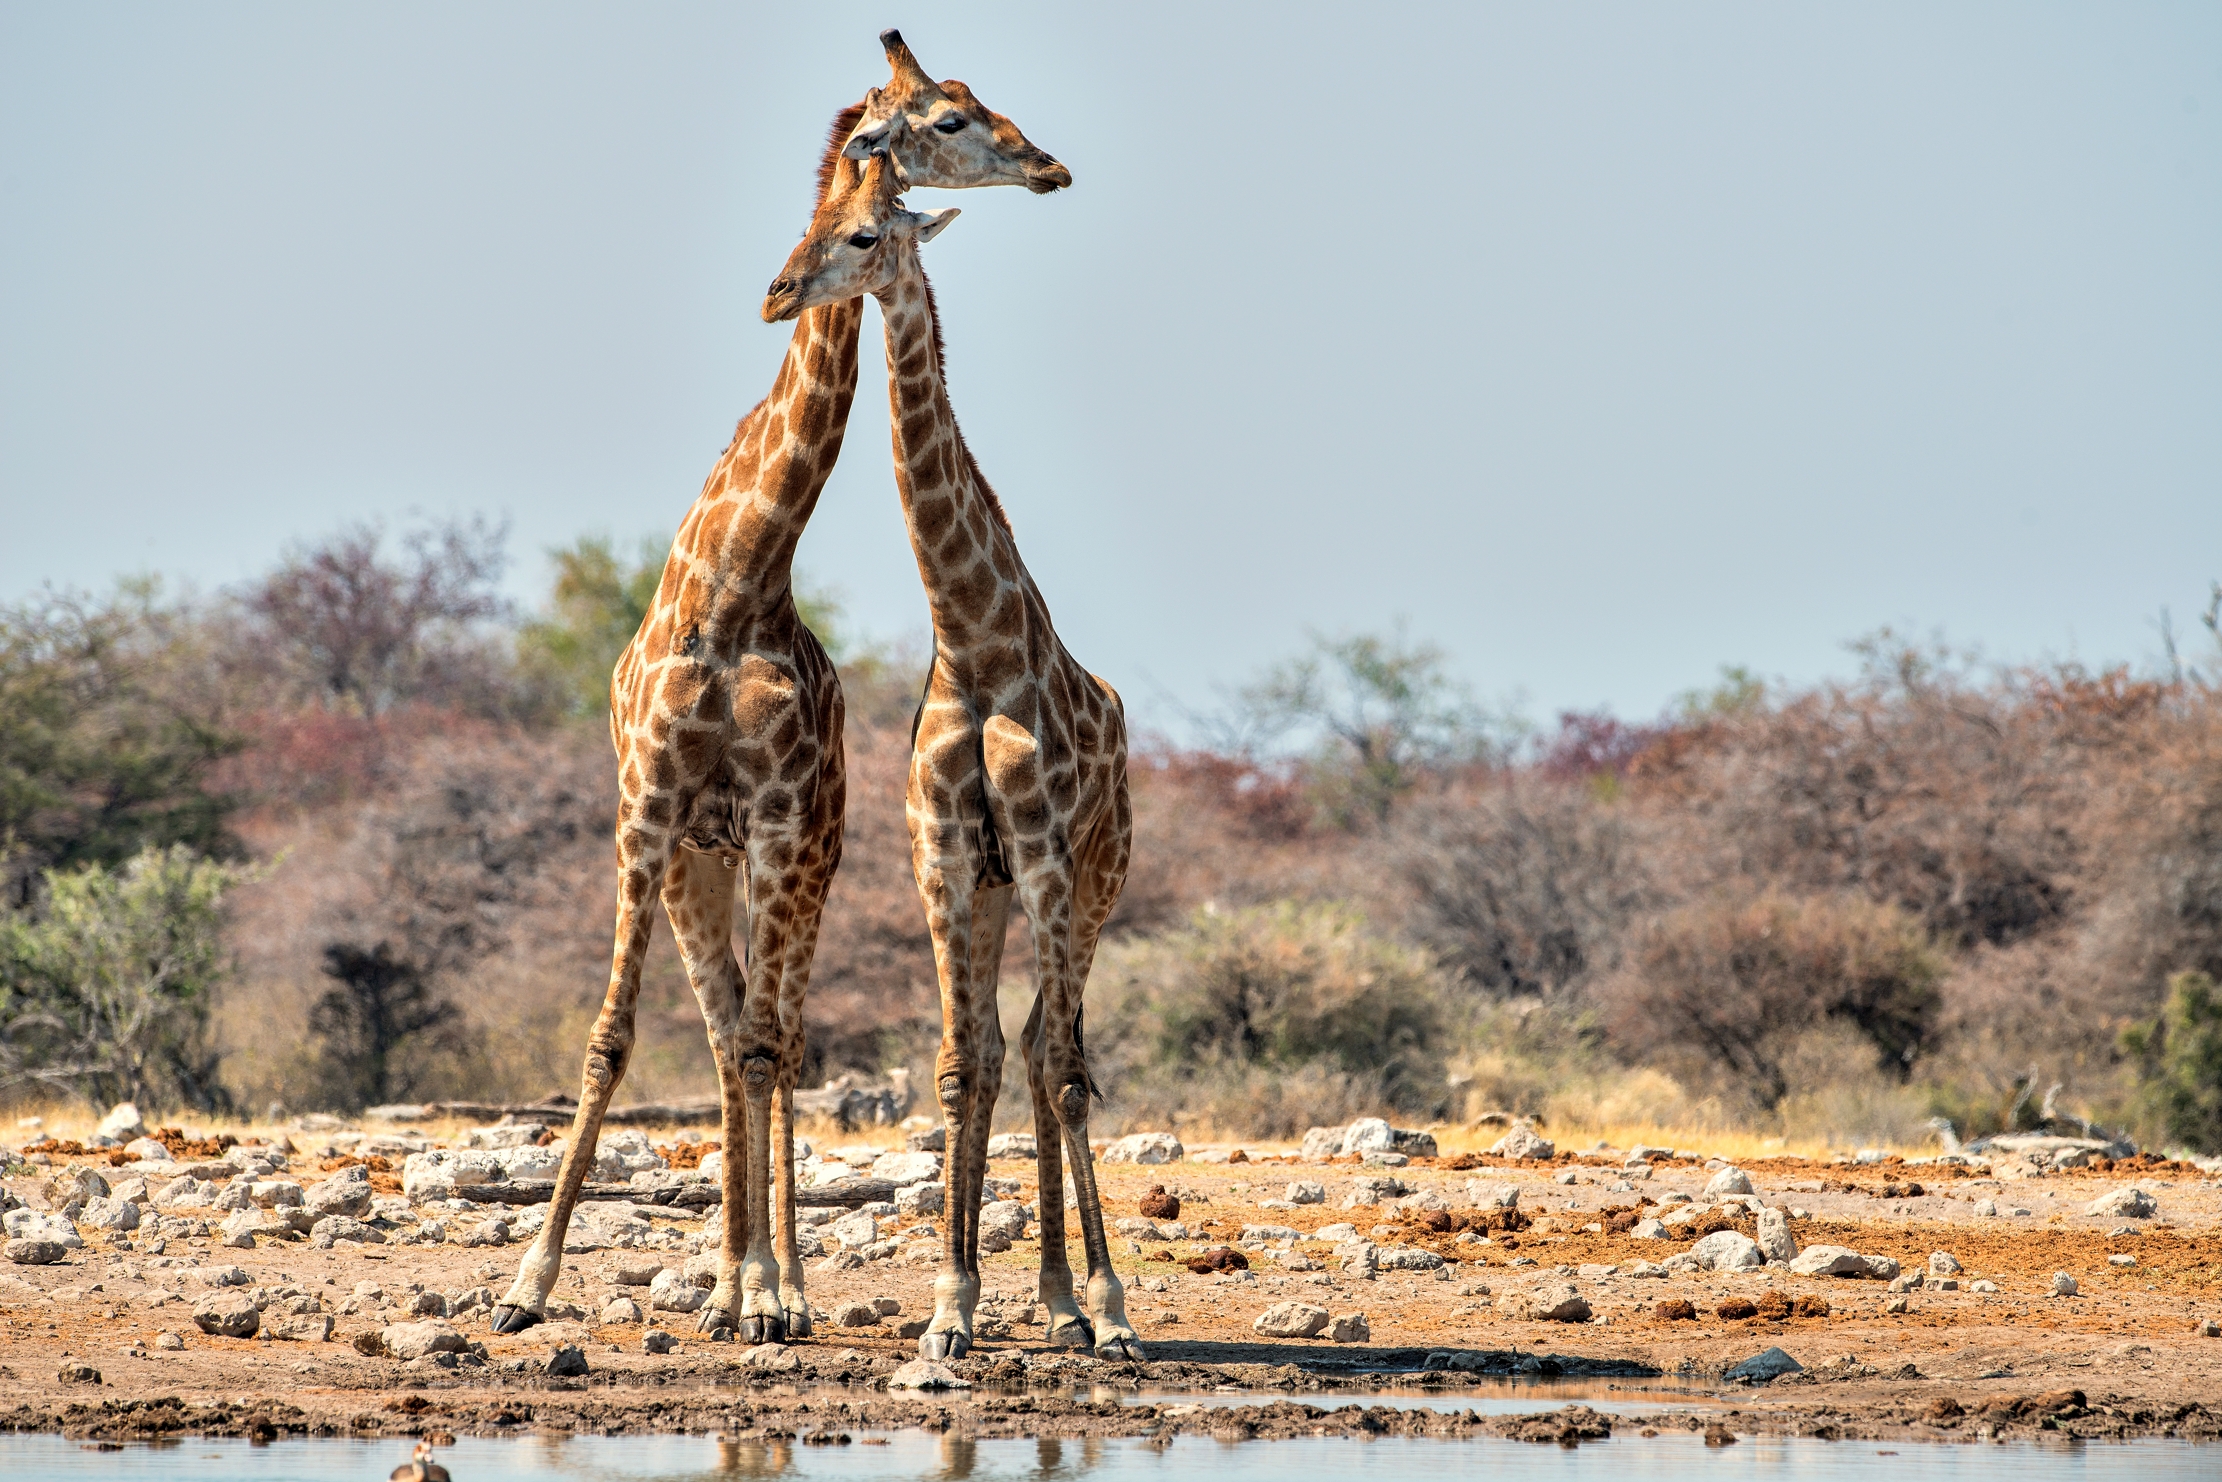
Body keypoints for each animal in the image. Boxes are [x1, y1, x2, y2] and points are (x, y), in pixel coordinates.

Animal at [490, 71, 1070, 1343]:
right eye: (949, 115)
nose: (1050, 167)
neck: (736, 578)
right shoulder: (645, 816)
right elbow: (609, 1043)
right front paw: (524, 1284)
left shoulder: (770, 822)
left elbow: (763, 1049)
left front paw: (766, 1291)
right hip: (699, 871)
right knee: (726, 1037)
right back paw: (726, 1280)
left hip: (802, 859)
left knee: (776, 1040)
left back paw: (778, 1286)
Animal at [764, 149, 1144, 1362]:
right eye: (812, 221)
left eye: (865, 237)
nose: (777, 293)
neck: (974, 641)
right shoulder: (943, 859)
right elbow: (953, 1067)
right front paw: (948, 1307)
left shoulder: (1046, 857)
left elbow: (1067, 1074)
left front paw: (1112, 1310)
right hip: (992, 892)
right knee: (1000, 1047)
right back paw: (1042, 1299)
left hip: (1091, 885)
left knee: (1050, 1050)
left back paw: (1078, 1303)